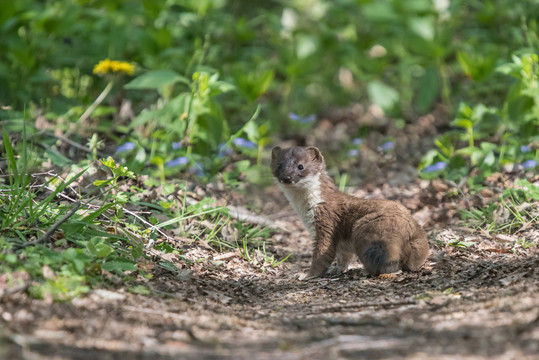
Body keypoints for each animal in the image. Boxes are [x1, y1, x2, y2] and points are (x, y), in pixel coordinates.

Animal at [270, 146, 430, 278]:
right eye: (279, 165)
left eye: (301, 166)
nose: (286, 177)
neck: (305, 211)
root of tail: (408, 231)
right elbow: (343, 256)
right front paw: (336, 269)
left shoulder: (326, 221)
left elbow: (323, 254)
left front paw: (306, 275)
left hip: (365, 227)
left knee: (390, 265)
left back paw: (365, 270)